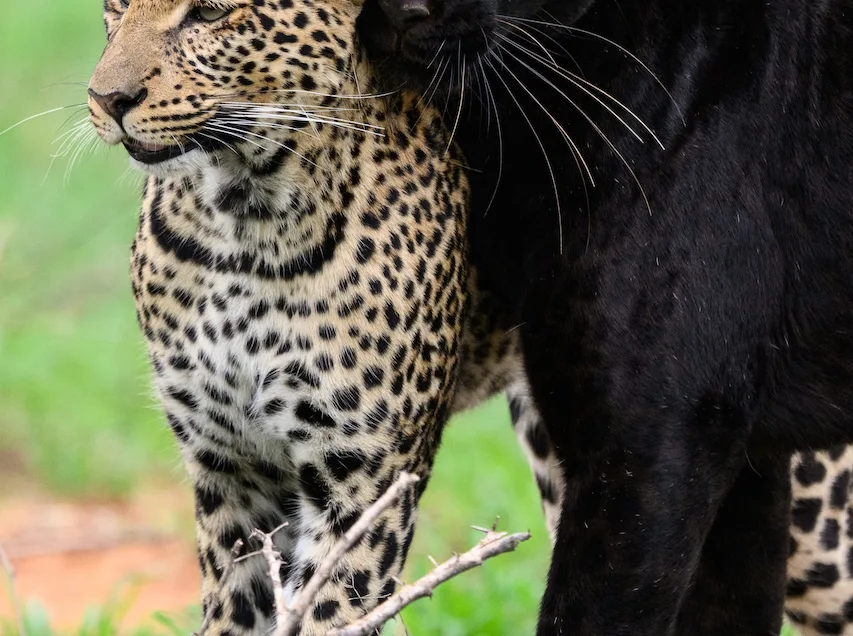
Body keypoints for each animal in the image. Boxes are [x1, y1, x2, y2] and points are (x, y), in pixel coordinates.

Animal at [86, 0, 471, 632]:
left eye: (210, 13)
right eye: (116, 7)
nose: (105, 98)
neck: (241, 221)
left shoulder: (365, 482)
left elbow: (330, 610)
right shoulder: (231, 470)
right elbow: (236, 605)